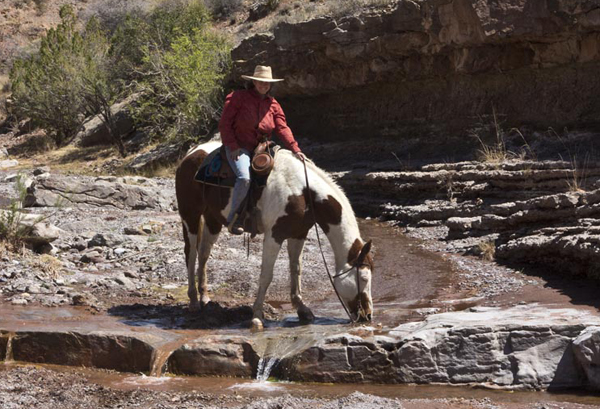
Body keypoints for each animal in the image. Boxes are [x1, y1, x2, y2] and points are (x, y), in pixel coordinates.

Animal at [173, 140, 372, 328]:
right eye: (364, 278)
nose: (367, 316)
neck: (304, 193)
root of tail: (192, 153)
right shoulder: (274, 235)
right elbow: (266, 275)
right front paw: (257, 317)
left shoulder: (298, 233)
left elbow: (296, 269)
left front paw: (302, 309)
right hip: (190, 215)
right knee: (191, 253)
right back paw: (193, 301)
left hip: (213, 219)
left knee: (204, 253)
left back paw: (204, 297)